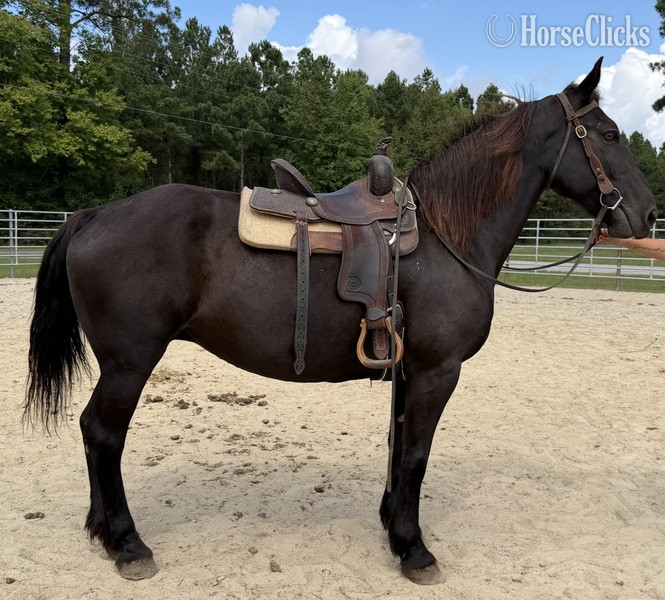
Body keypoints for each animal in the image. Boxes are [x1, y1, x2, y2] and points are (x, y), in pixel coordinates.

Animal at [25, 59, 657, 584]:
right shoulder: (438, 371)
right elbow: (417, 455)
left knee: (93, 434)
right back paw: (127, 543)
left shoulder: (410, 370)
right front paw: (414, 549)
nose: (648, 214)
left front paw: (393, 526)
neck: (448, 234)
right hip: (129, 363)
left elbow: (399, 446)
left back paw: (102, 530)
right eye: (609, 135)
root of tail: (92, 216)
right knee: (104, 435)